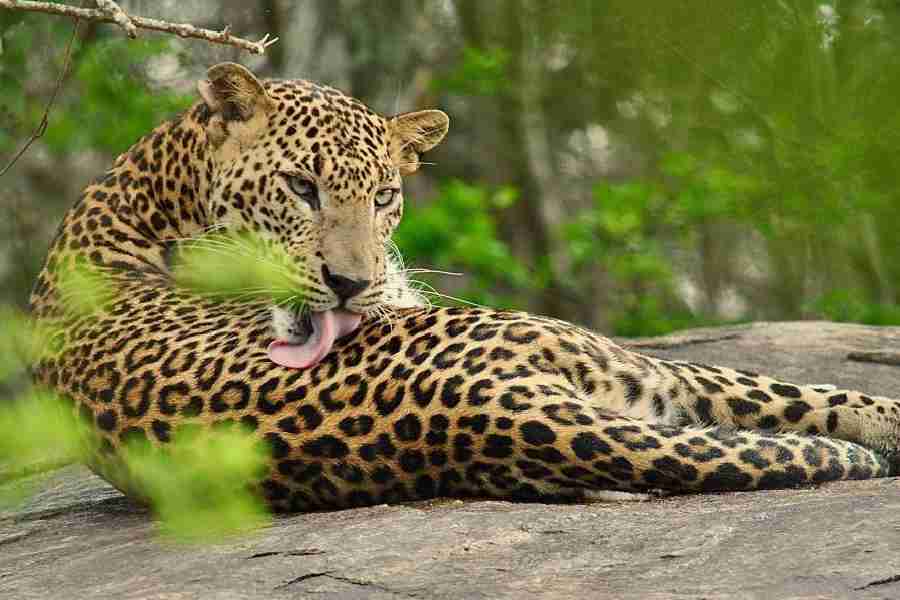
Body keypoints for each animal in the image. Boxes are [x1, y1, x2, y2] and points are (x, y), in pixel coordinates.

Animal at [28, 62, 900, 510]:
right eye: (302, 188)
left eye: (385, 196)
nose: (351, 285)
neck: (157, 186)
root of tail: (483, 411)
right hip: (609, 363)